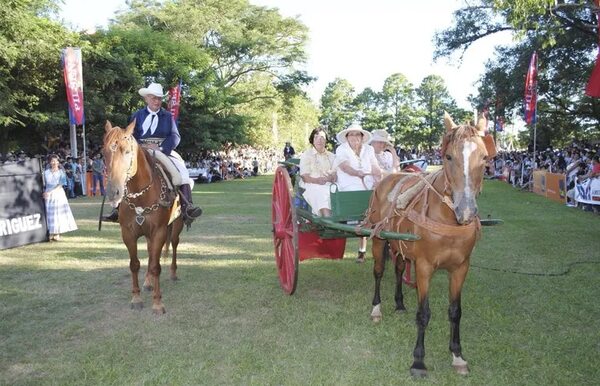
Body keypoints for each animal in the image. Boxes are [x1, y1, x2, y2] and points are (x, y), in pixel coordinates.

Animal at [103, 122, 184, 316]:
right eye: (103, 152)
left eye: (126, 151)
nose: (113, 192)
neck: (140, 197)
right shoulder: (128, 233)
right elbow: (135, 264)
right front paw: (136, 298)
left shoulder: (159, 232)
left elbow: (156, 266)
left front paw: (157, 303)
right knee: (149, 252)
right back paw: (148, 282)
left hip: (176, 225)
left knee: (174, 245)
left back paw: (173, 273)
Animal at [368, 111, 494, 376]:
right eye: (448, 156)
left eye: (484, 157)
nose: (466, 211)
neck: (449, 222)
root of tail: (388, 177)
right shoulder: (424, 267)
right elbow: (424, 313)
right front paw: (418, 360)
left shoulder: (460, 268)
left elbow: (455, 312)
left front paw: (457, 355)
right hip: (379, 239)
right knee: (379, 272)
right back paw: (376, 309)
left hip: (400, 245)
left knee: (399, 269)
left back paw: (399, 303)